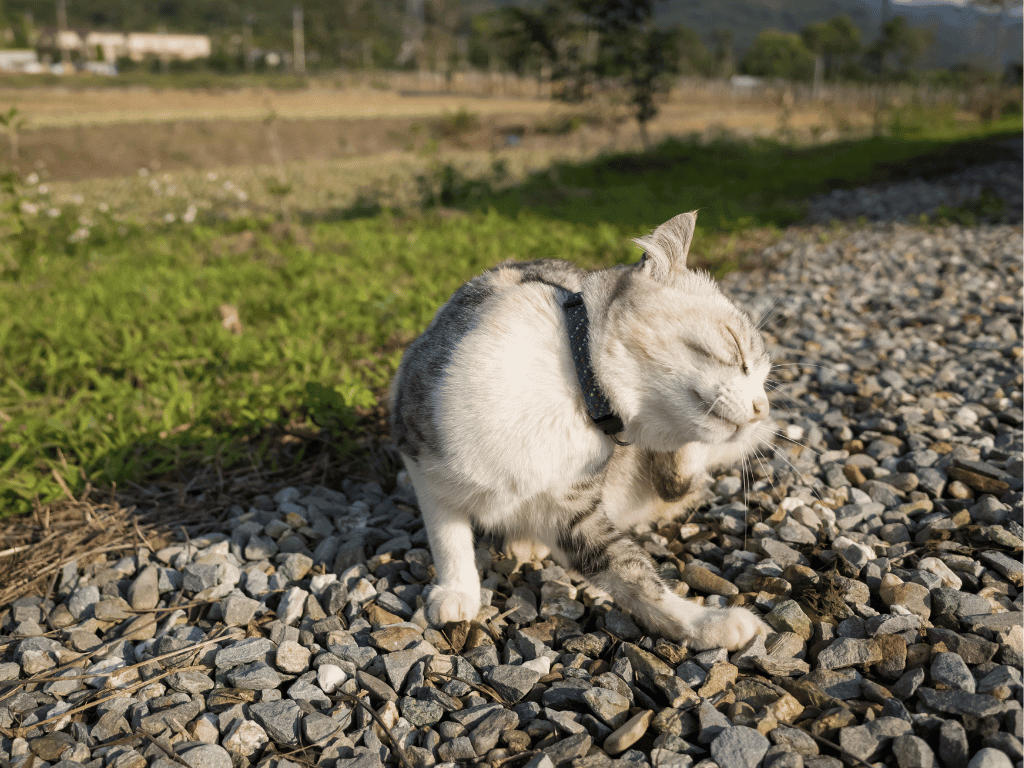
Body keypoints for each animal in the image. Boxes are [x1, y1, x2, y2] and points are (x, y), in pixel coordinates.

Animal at [389, 210, 770, 651]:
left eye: (765, 379)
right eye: (737, 349)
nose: (762, 408)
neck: (573, 392)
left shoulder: (575, 509)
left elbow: (630, 570)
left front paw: (707, 623)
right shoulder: (418, 444)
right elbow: (446, 530)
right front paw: (457, 590)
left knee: (679, 484)